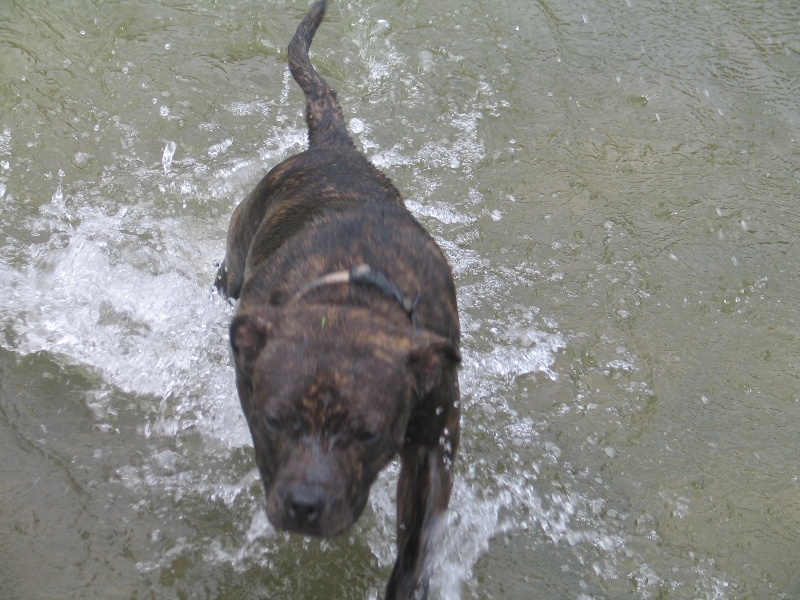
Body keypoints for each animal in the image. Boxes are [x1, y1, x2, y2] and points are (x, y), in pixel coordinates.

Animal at [216, 2, 460, 596]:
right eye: (275, 421)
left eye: (367, 434)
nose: (306, 504)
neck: (351, 299)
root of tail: (332, 148)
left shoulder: (433, 442)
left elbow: (418, 532)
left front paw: (408, 580)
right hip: (237, 252)